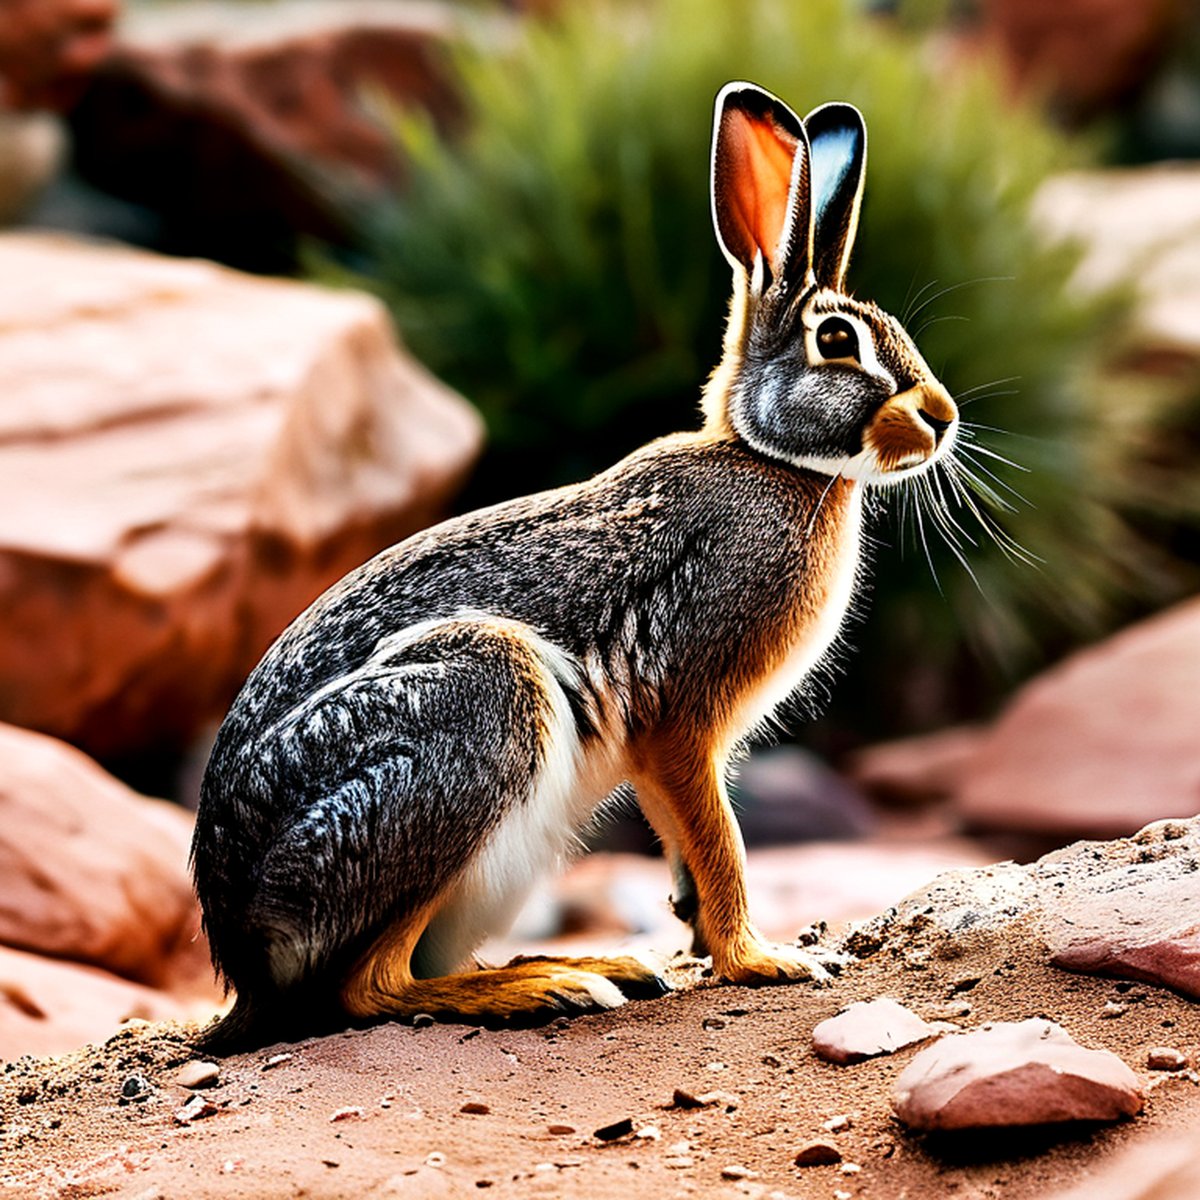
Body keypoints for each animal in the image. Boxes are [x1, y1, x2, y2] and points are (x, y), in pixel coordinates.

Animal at [191, 81, 959, 1050]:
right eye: (835, 342)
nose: (943, 418)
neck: (771, 460)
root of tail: (241, 949)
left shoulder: (659, 751)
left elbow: (686, 840)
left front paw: (702, 941)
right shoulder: (683, 719)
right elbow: (720, 838)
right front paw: (763, 960)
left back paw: (599, 967)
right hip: (472, 717)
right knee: (369, 987)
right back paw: (550, 988)